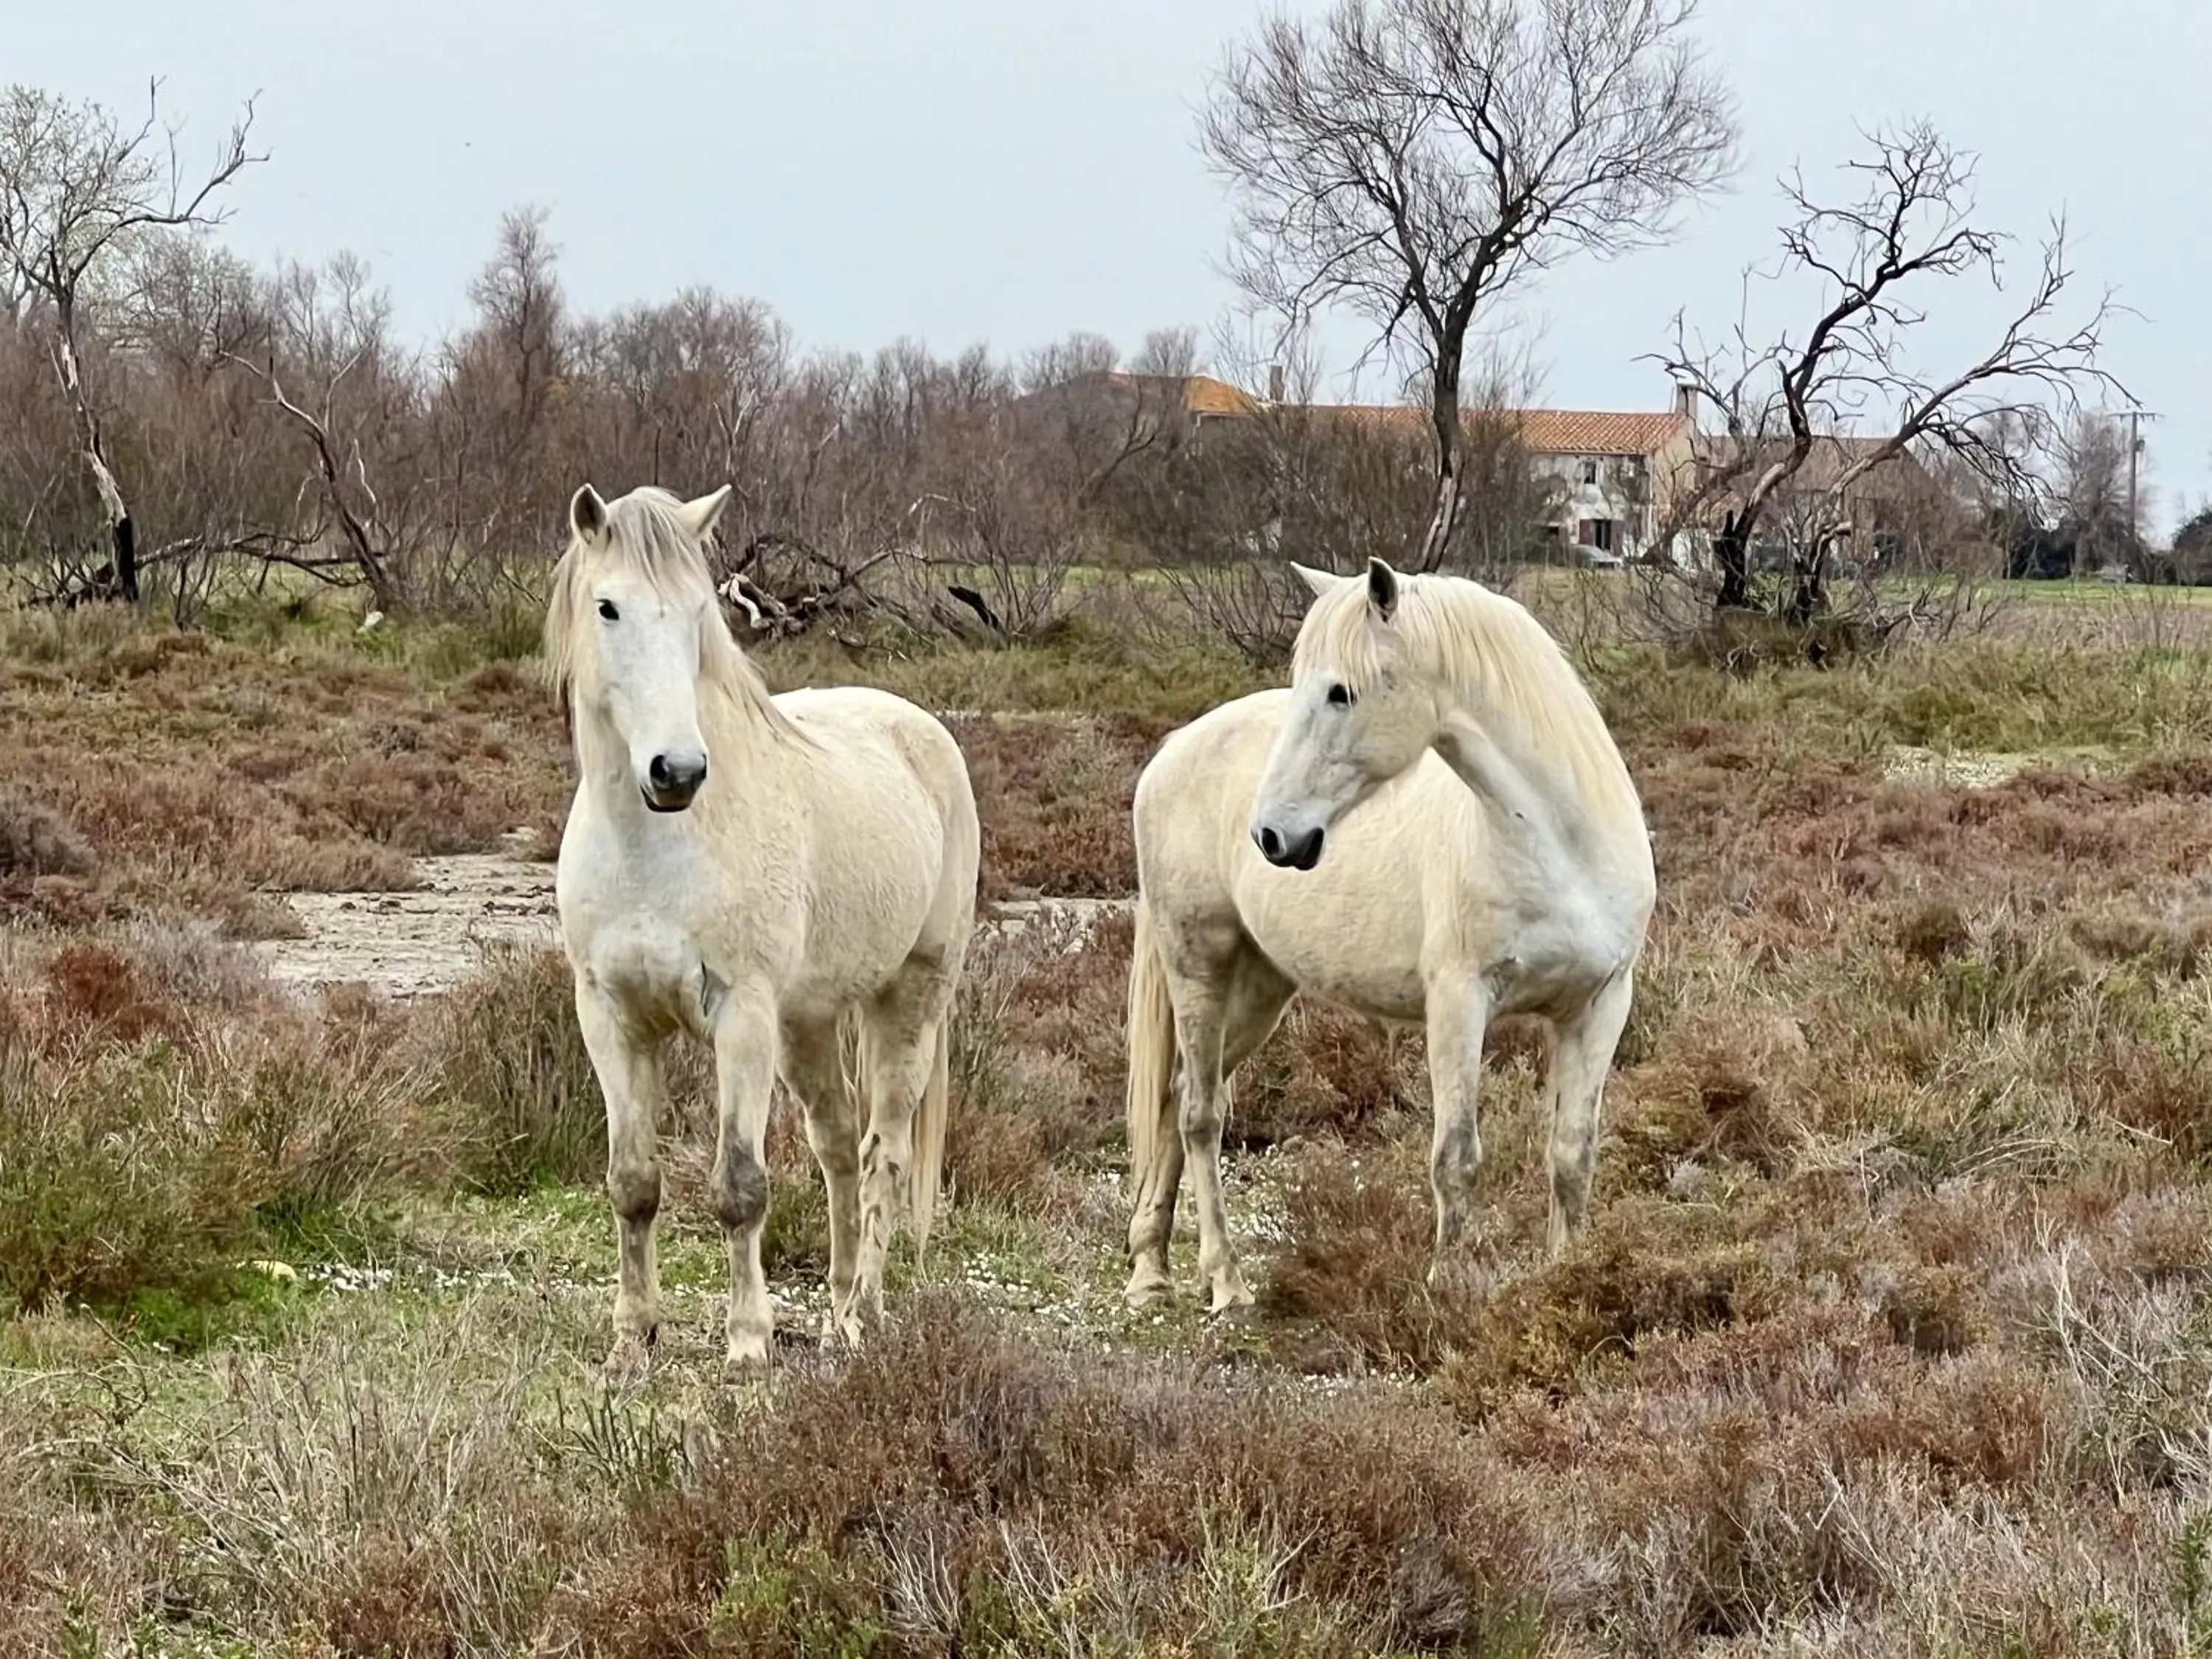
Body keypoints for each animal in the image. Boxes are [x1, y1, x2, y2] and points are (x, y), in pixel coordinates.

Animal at [544, 480, 978, 1380]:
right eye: (607, 607)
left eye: (696, 612)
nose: (676, 772)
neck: (657, 847)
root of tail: (919, 729)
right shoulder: (609, 1017)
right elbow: (632, 1183)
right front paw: (631, 1341)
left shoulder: (740, 1017)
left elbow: (740, 1188)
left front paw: (747, 1344)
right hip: (807, 1022)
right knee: (839, 1145)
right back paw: (839, 1308)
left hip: (909, 1000)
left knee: (883, 1153)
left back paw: (861, 1315)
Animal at [1124, 560, 1663, 1310]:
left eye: (1340, 692)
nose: (1272, 836)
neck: (1559, 847)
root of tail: (1175, 750)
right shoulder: (1459, 1004)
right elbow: (1456, 1157)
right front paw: (1448, 1286)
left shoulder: (1598, 1006)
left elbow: (1571, 1155)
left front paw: (1566, 1280)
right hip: (1198, 965)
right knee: (1201, 1113)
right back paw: (1225, 1281)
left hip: (1261, 990)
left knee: (1176, 1098)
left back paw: (1150, 1269)